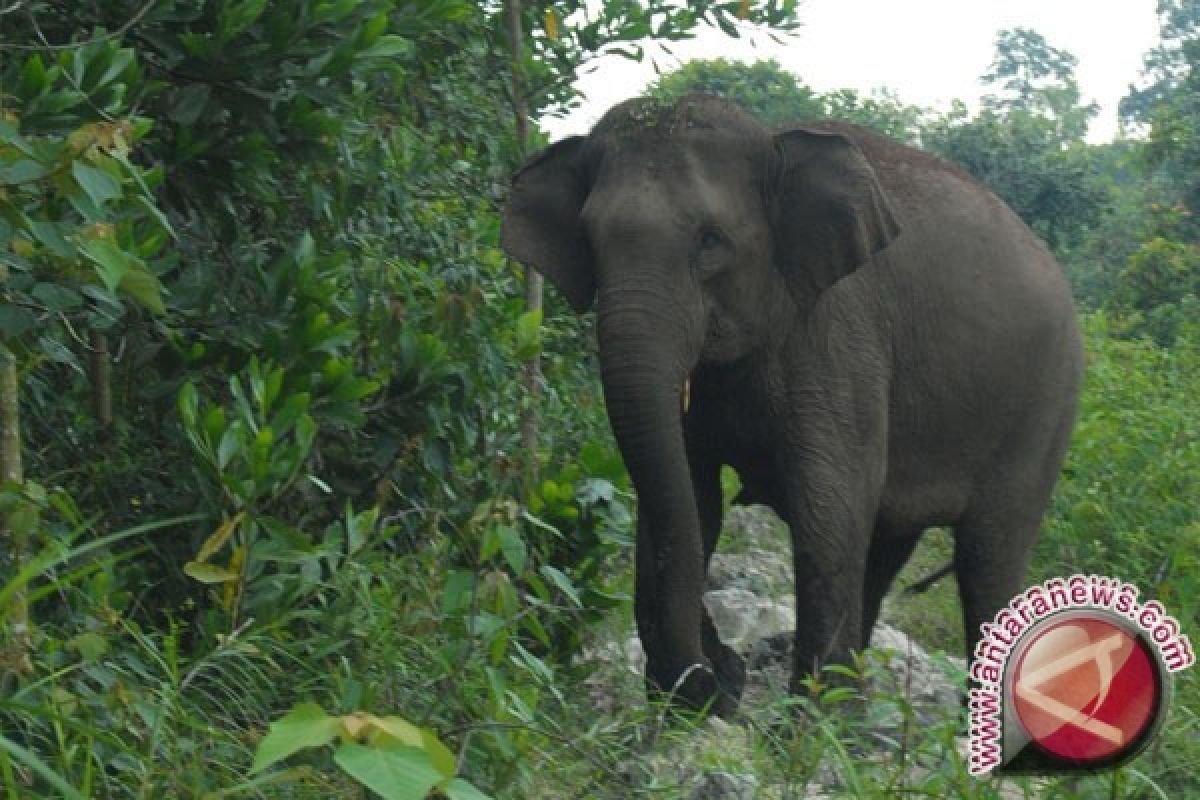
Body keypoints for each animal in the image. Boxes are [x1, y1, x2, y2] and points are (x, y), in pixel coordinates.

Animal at [501, 94, 1084, 714]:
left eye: (710, 241)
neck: (773, 141)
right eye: (588, 240)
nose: (721, 675)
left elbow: (828, 507)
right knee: (885, 549)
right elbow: (691, 495)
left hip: (1046, 410)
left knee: (986, 558)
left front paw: (792, 725)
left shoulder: (840, 333)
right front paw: (692, 702)